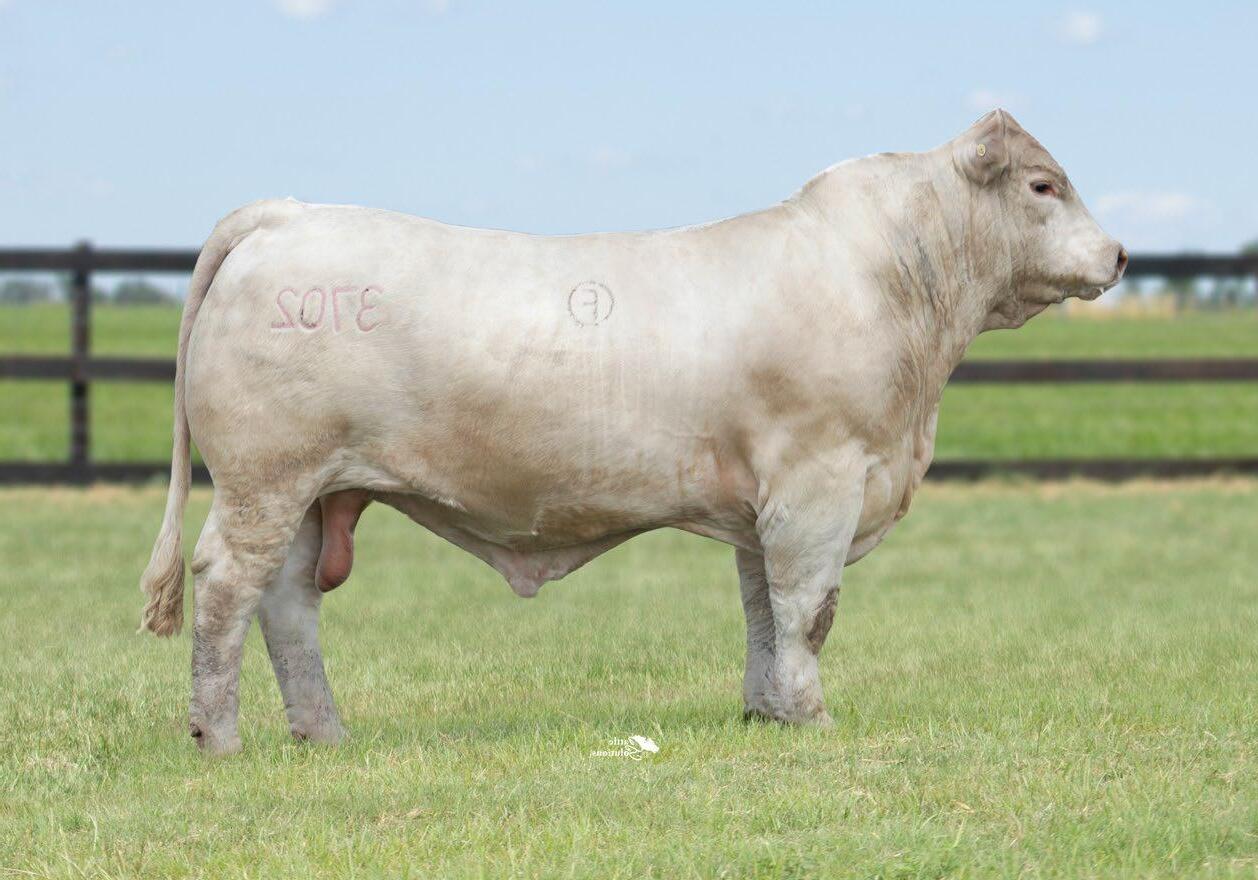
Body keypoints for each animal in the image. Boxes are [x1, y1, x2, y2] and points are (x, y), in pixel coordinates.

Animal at [140, 110, 1126, 754]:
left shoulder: (764, 501)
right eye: (1044, 185)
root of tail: (288, 213)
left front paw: (764, 714)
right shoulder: (820, 481)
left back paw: (324, 733)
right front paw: (812, 718)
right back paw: (217, 735)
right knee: (227, 585)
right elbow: (809, 608)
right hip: (266, 477)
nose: (1118, 254)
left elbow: (762, 609)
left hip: (318, 491)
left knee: (288, 603)